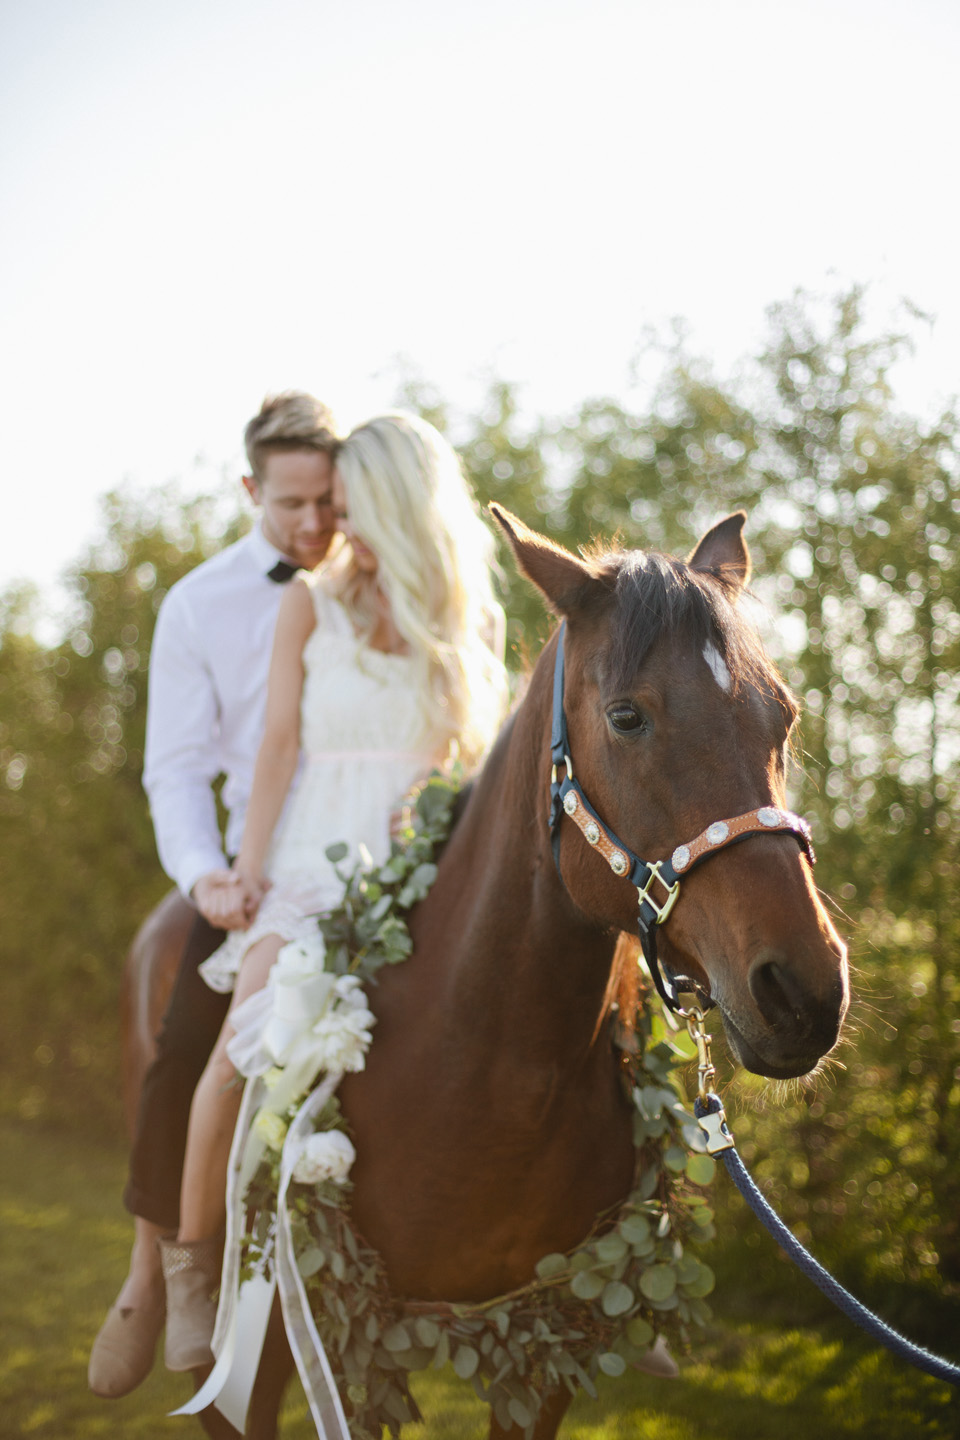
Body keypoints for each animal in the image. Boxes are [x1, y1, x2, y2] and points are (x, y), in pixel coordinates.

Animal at [122, 509, 846, 1440]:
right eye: (627, 717)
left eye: (781, 716)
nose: (804, 991)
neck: (485, 1065)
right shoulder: (348, 1335)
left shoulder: (542, 1338)